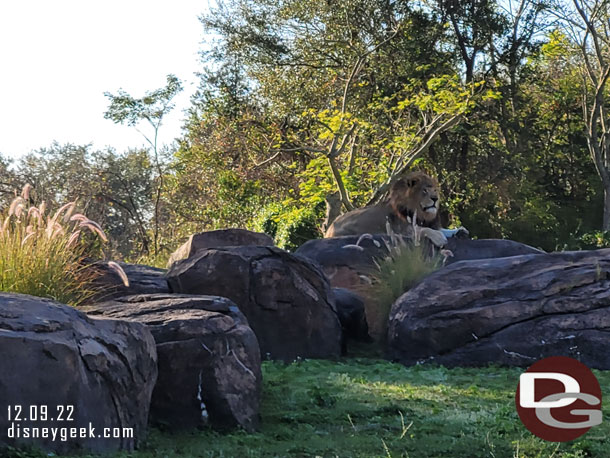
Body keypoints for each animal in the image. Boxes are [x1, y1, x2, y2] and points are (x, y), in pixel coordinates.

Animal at [324, 170, 460, 247]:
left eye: (435, 190)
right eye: (424, 190)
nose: (435, 199)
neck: (422, 214)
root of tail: (328, 231)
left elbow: (441, 229)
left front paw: (457, 230)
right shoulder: (401, 230)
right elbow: (423, 229)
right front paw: (439, 238)